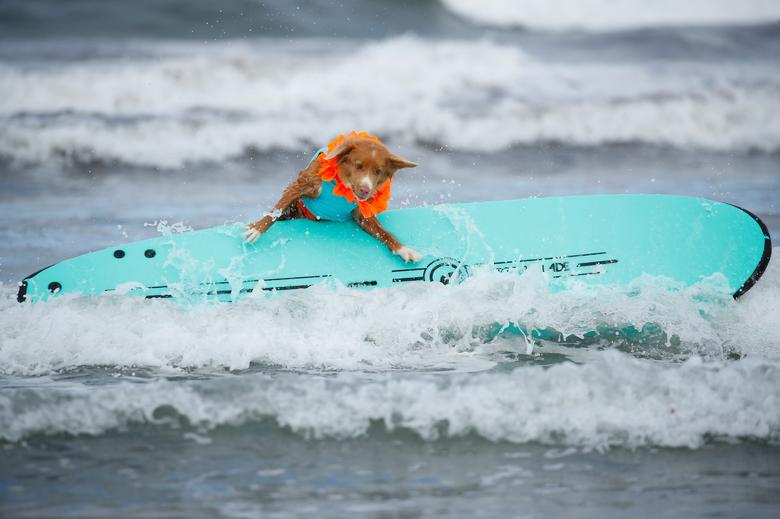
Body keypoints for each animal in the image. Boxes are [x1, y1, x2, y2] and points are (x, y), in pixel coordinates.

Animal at [244, 133, 424, 264]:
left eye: (378, 171)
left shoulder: (362, 213)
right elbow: (277, 210)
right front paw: (256, 229)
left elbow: (384, 233)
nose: (365, 190)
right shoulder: (302, 185)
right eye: (359, 165)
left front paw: (403, 249)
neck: (343, 184)